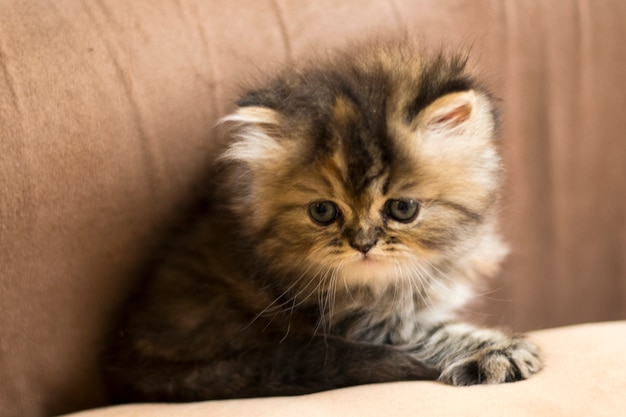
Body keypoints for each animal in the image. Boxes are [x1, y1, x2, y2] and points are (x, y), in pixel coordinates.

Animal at [101, 40, 536, 402]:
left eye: (402, 209)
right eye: (323, 212)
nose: (363, 244)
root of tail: (124, 361)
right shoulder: (353, 322)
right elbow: (431, 332)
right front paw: (499, 351)